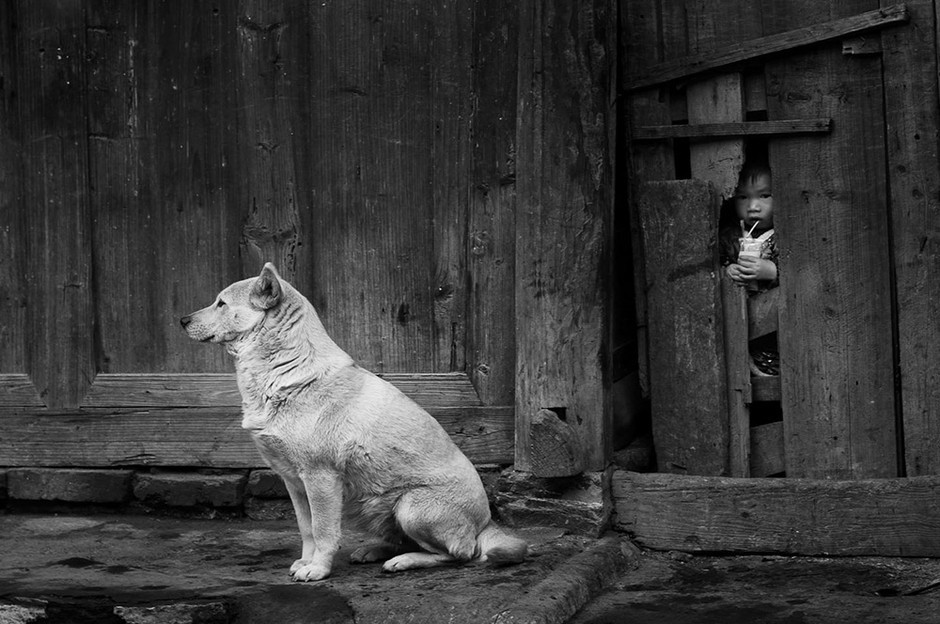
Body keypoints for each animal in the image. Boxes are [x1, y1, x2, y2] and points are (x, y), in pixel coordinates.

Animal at [180, 262, 524, 580]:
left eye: (221, 303)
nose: (182, 320)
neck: (286, 370)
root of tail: (485, 523)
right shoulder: (294, 482)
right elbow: (306, 529)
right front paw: (306, 561)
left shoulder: (320, 478)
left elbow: (324, 531)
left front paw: (318, 569)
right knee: (414, 542)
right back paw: (376, 551)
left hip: (411, 506)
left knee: (462, 552)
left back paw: (405, 561)